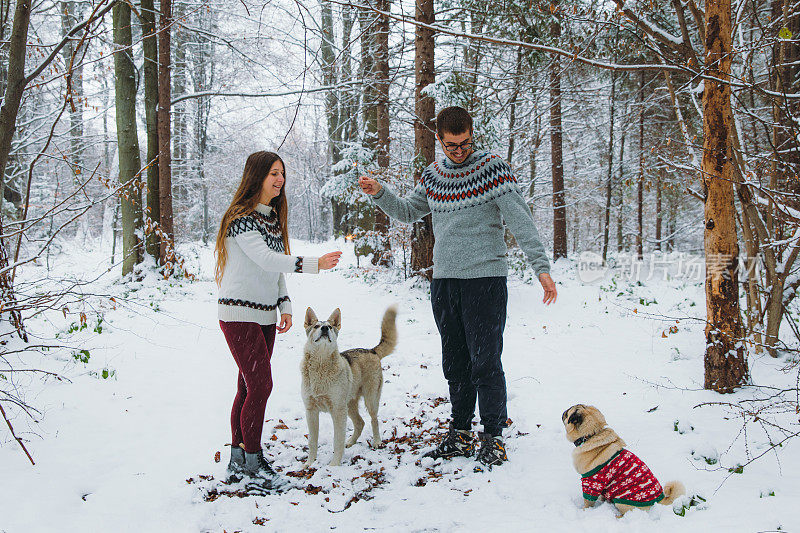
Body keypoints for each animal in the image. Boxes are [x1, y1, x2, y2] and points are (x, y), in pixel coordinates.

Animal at [304, 306, 396, 464]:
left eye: (329, 326)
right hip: (349, 405)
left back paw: (377, 442)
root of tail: (372, 350)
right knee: (360, 423)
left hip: (370, 401)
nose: (324, 328)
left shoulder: (338, 412)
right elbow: (312, 442)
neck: (321, 365)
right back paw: (351, 442)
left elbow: (337, 441)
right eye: (316, 326)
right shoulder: (311, 411)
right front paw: (309, 464)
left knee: (374, 420)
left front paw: (334, 465)